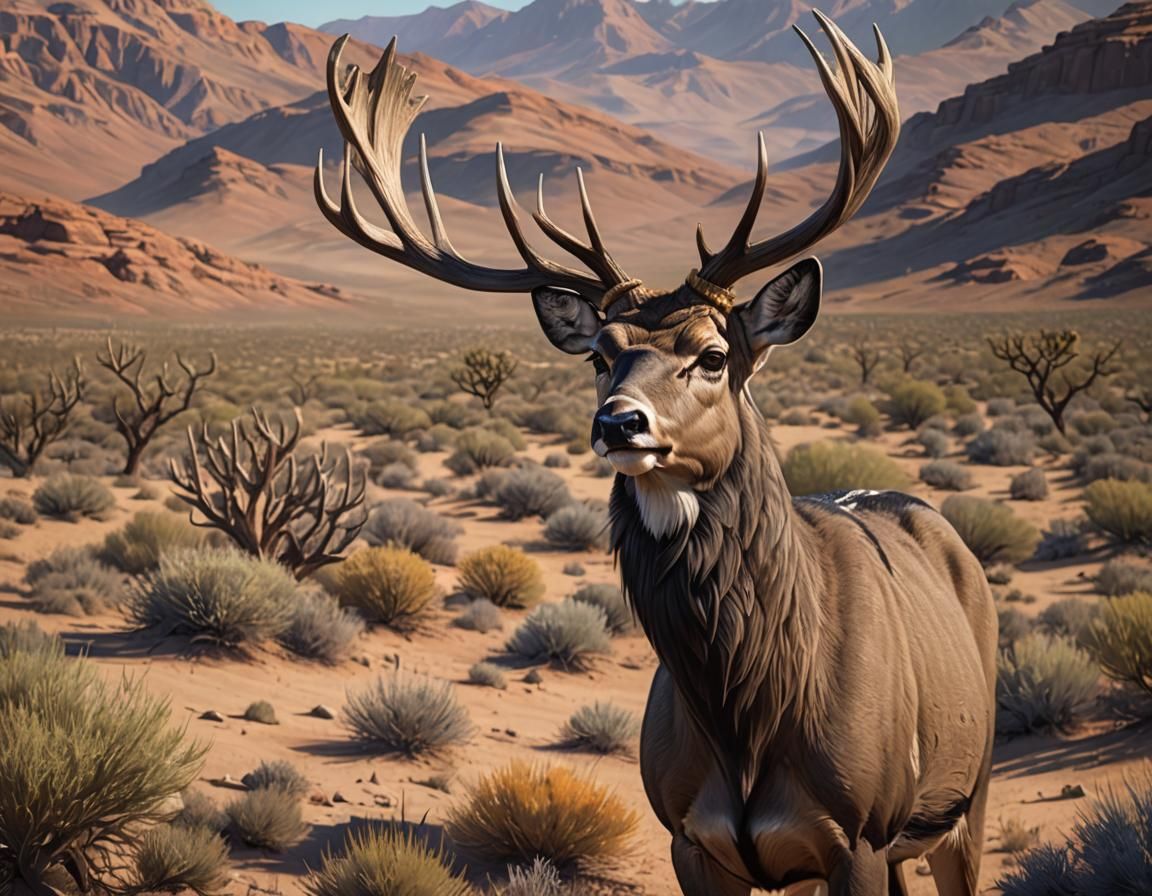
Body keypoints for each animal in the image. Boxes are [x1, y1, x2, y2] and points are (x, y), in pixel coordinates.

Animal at [314, 15, 997, 896]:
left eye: (713, 354)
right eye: (601, 355)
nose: (618, 424)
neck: (750, 715)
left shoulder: (862, 834)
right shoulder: (689, 835)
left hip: (964, 803)